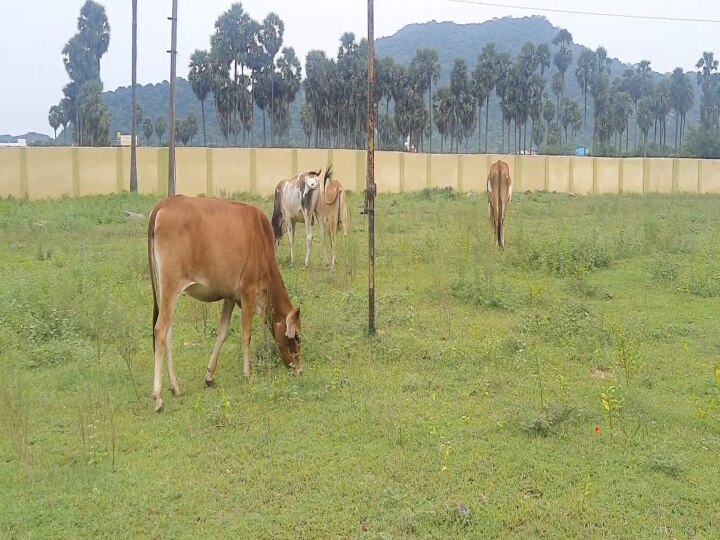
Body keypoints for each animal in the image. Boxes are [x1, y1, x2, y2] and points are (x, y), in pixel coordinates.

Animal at [149, 196, 300, 412]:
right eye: (297, 337)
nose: (299, 370)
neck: (261, 237)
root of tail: (162, 205)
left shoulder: (230, 296)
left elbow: (222, 332)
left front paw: (210, 376)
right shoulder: (248, 291)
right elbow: (246, 334)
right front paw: (248, 374)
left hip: (165, 292)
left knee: (168, 334)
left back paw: (175, 388)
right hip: (170, 286)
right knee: (160, 331)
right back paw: (158, 397)